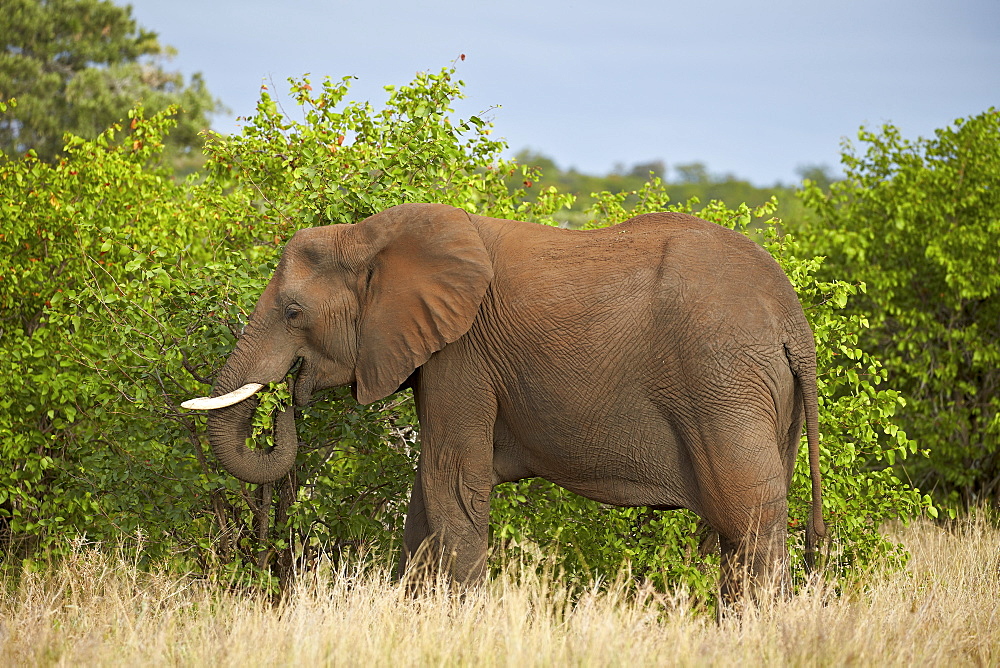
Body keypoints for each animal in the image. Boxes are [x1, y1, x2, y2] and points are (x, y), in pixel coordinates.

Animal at [184, 204, 824, 600]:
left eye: (294, 312)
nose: (287, 396)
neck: (370, 235)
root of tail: (793, 322)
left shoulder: (462, 355)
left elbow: (451, 482)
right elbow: (428, 494)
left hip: (723, 380)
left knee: (747, 518)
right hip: (763, 393)